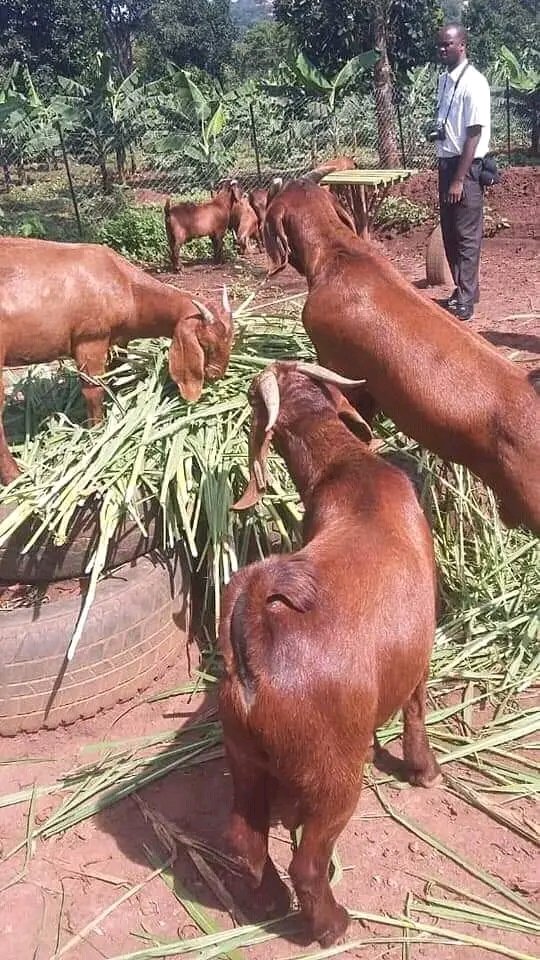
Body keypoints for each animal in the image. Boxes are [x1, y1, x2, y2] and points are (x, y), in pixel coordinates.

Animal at [0, 237, 233, 484]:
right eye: (205, 344)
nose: (216, 373)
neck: (127, 287)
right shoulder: (90, 341)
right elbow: (93, 391)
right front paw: (97, 433)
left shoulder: (118, 340)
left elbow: (118, 375)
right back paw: (15, 477)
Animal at [219, 360, 441, 947]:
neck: (348, 470)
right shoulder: (420, 653)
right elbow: (416, 705)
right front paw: (424, 770)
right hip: (332, 773)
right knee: (309, 863)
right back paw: (332, 925)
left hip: (244, 756)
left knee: (245, 838)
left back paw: (269, 901)